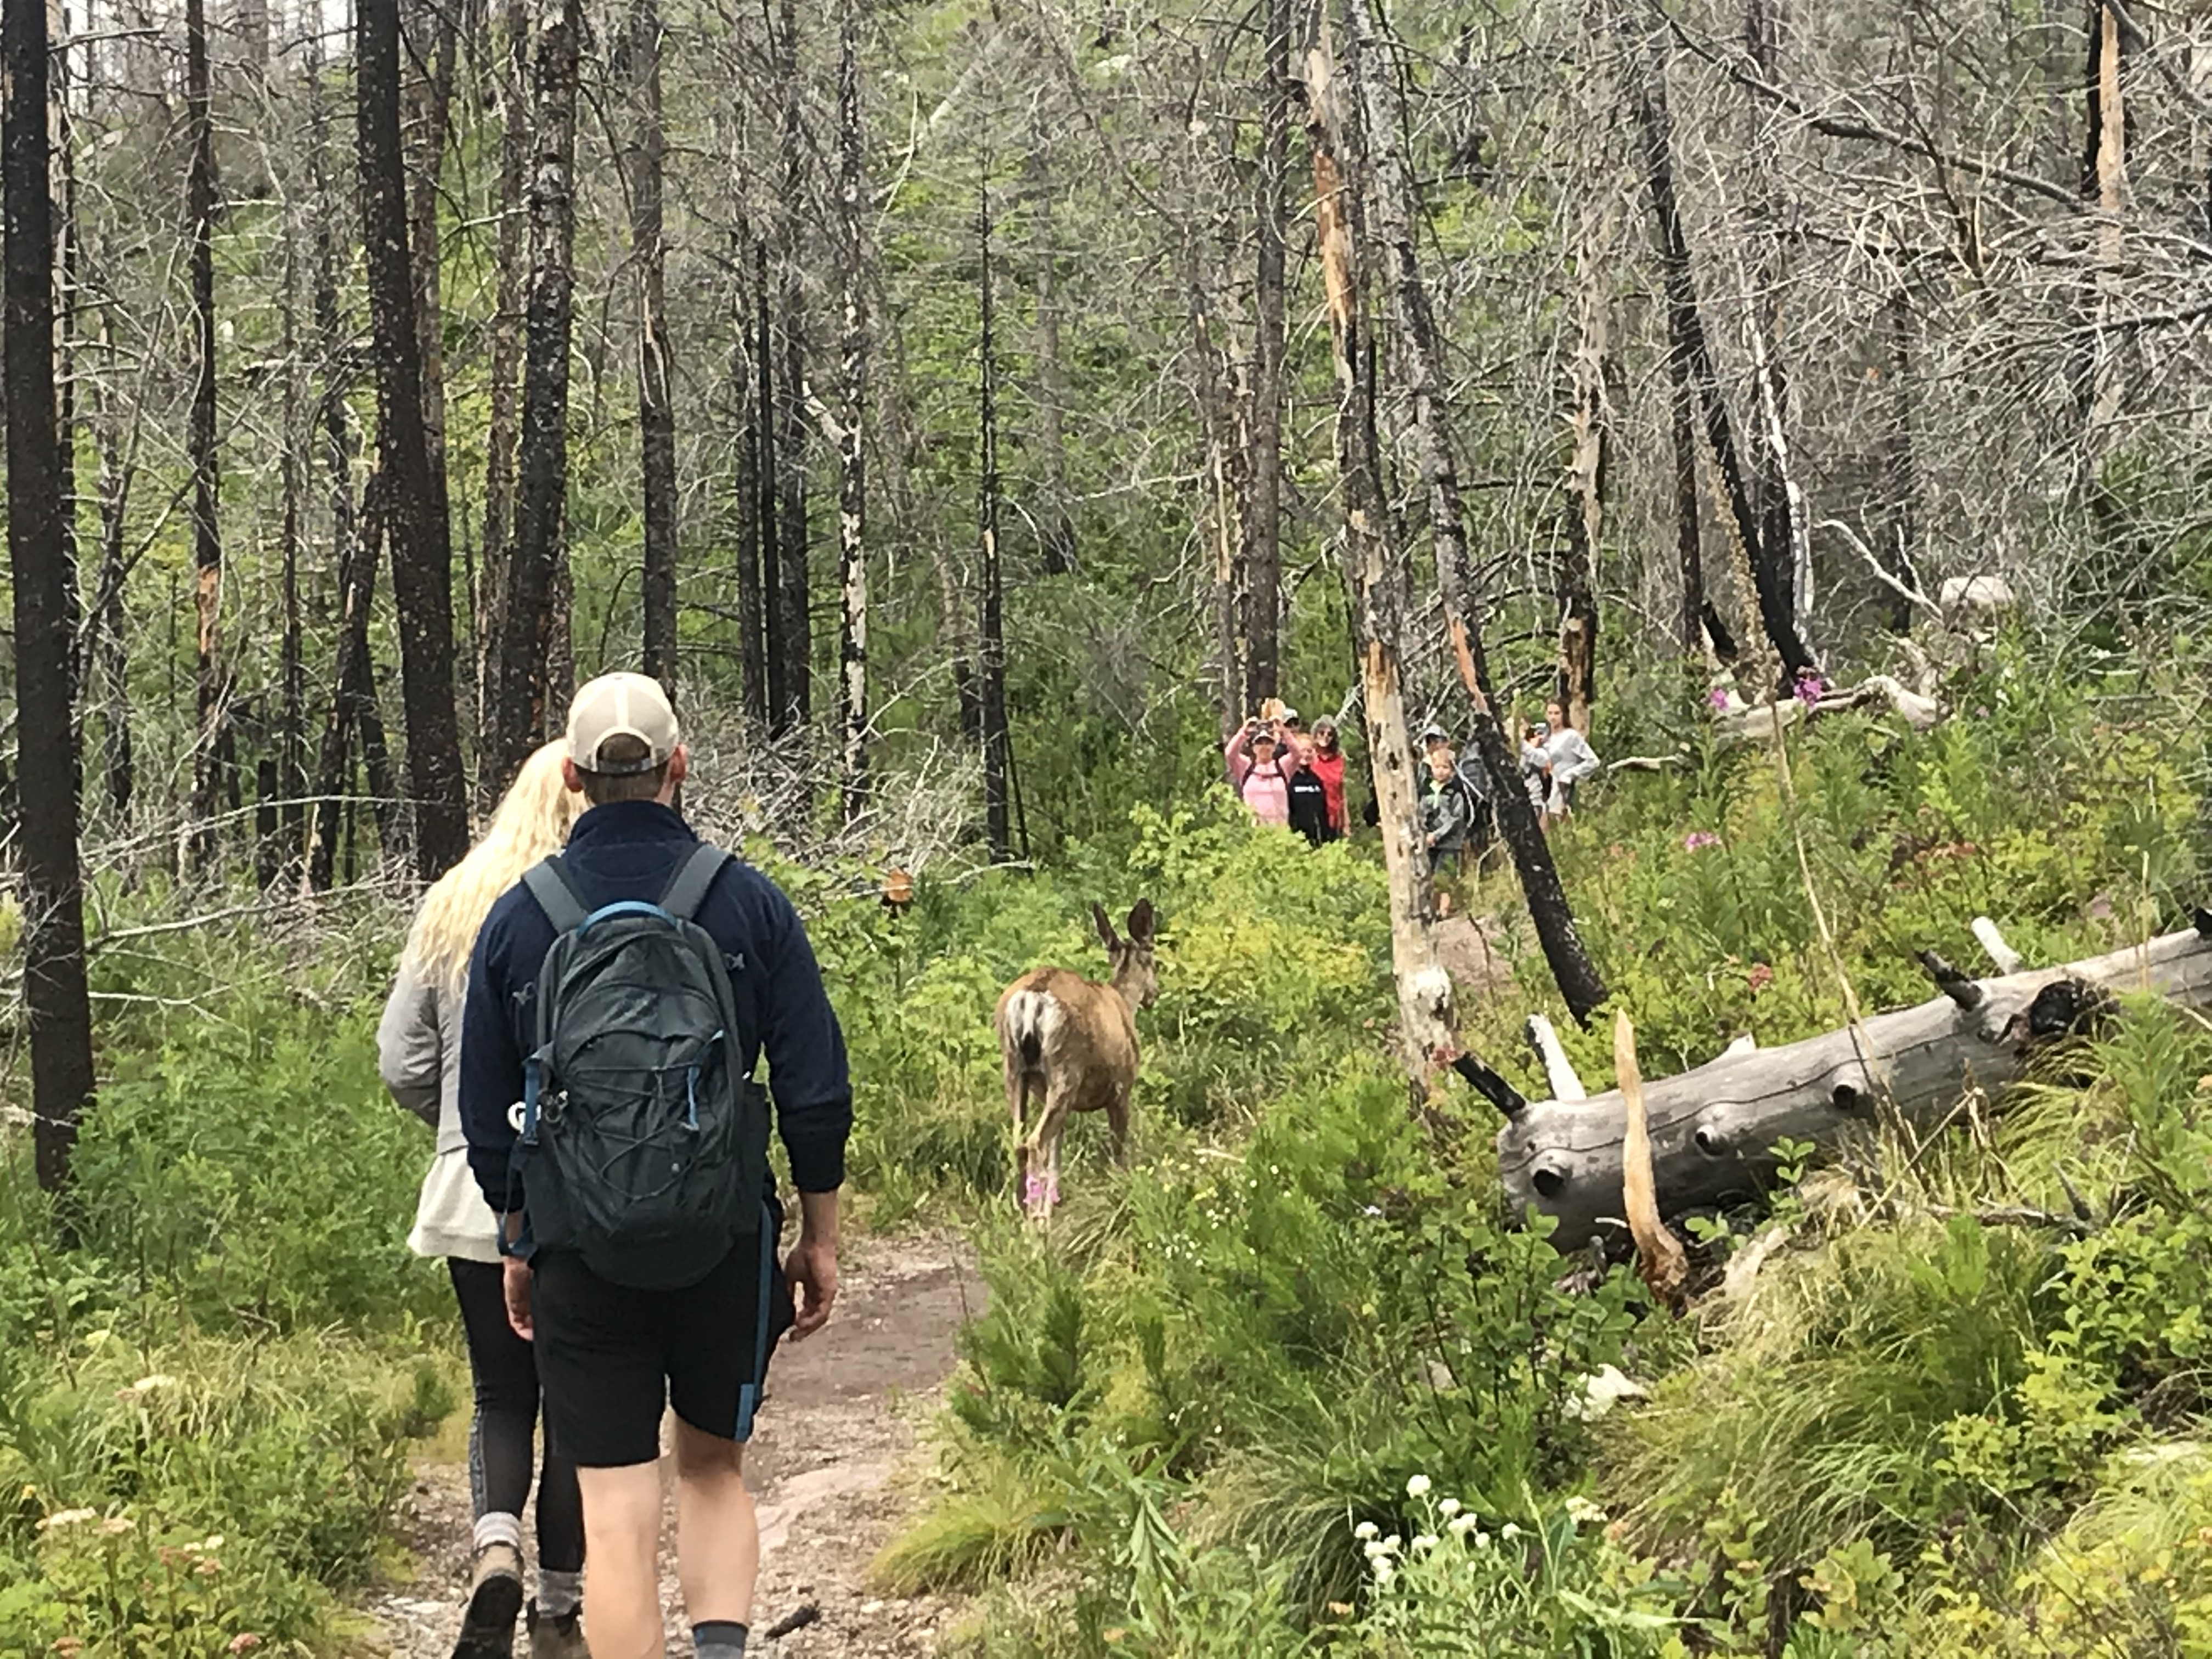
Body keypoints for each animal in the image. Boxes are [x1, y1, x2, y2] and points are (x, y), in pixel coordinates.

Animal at [993, 899, 1157, 1218]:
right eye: (1155, 962)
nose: (1154, 994)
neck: (1123, 1002)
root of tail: (1033, 996)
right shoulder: (1121, 1088)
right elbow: (1118, 1149)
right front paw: (1123, 1191)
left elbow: (1056, 1159)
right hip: (1065, 1069)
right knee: (1035, 1143)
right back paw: (1036, 1222)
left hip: (1015, 1070)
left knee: (1019, 1141)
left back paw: (1024, 1214)